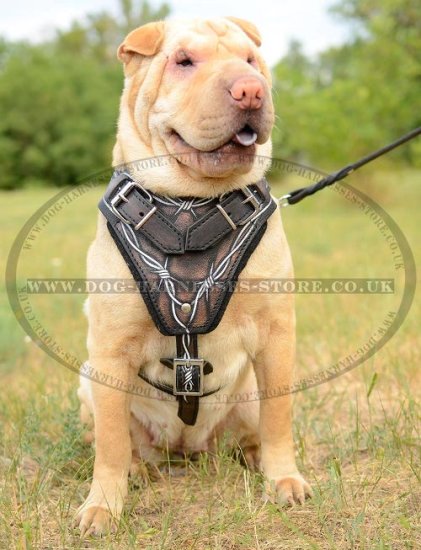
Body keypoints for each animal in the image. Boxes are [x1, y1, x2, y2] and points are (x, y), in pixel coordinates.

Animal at [75, 16, 312, 536]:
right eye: (183, 62)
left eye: (251, 61)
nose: (250, 90)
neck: (191, 205)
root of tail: (186, 450)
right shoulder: (109, 348)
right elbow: (110, 441)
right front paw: (103, 506)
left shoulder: (276, 334)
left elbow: (280, 417)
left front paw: (284, 479)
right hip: (87, 380)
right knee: (119, 441)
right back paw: (137, 471)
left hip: (246, 394)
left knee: (253, 428)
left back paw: (253, 456)